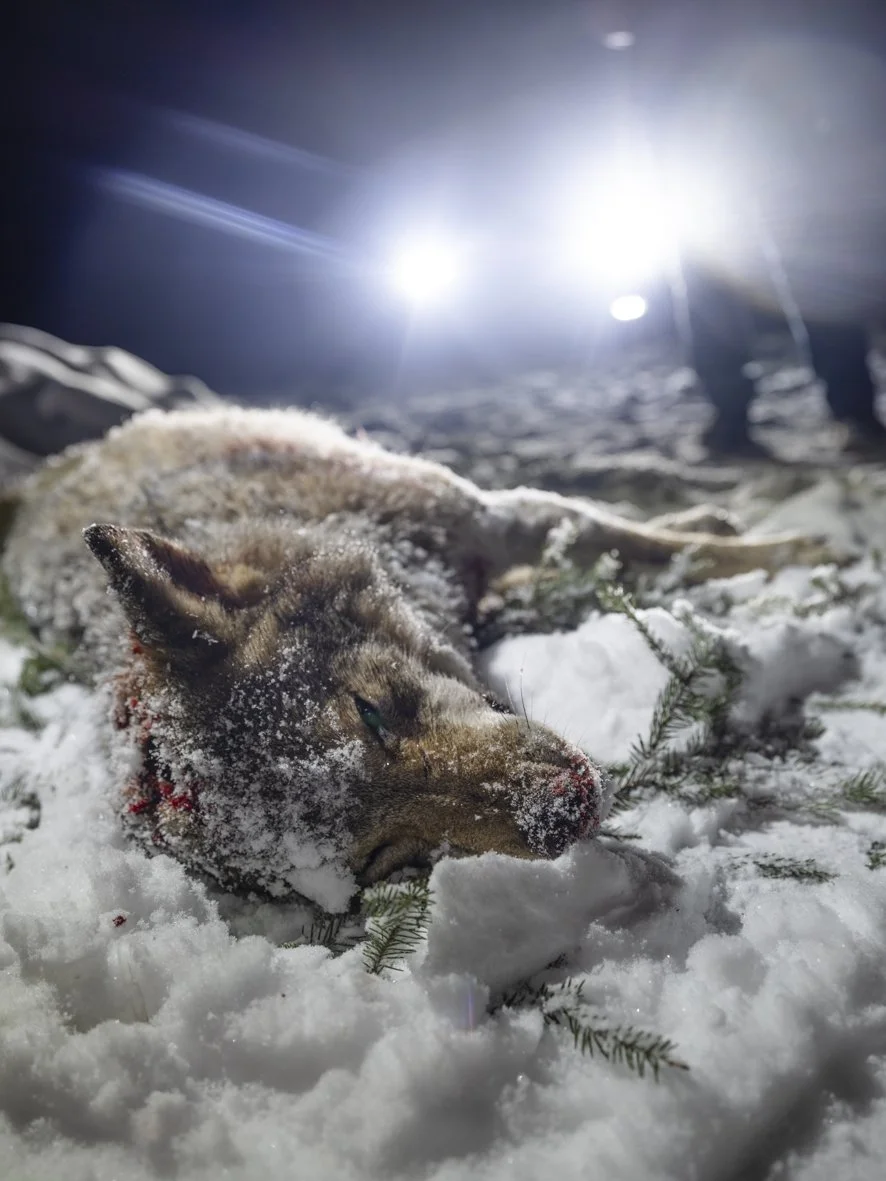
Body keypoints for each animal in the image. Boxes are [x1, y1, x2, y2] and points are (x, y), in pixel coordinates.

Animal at [0, 405, 831, 909]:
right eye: (385, 854)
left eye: (370, 712)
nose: (563, 810)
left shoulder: (492, 516)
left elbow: (656, 545)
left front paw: (799, 549)